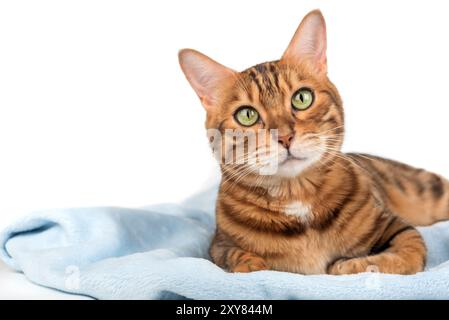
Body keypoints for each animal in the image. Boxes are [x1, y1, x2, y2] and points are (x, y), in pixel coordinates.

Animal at [177, 10, 446, 276]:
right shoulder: (218, 245)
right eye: (247, 115)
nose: (285, 137)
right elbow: (236, 256)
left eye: (302, 98)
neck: (297, 196)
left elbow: (405, 254)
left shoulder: (398, 227)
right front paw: (252, 264)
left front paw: (350, 264)